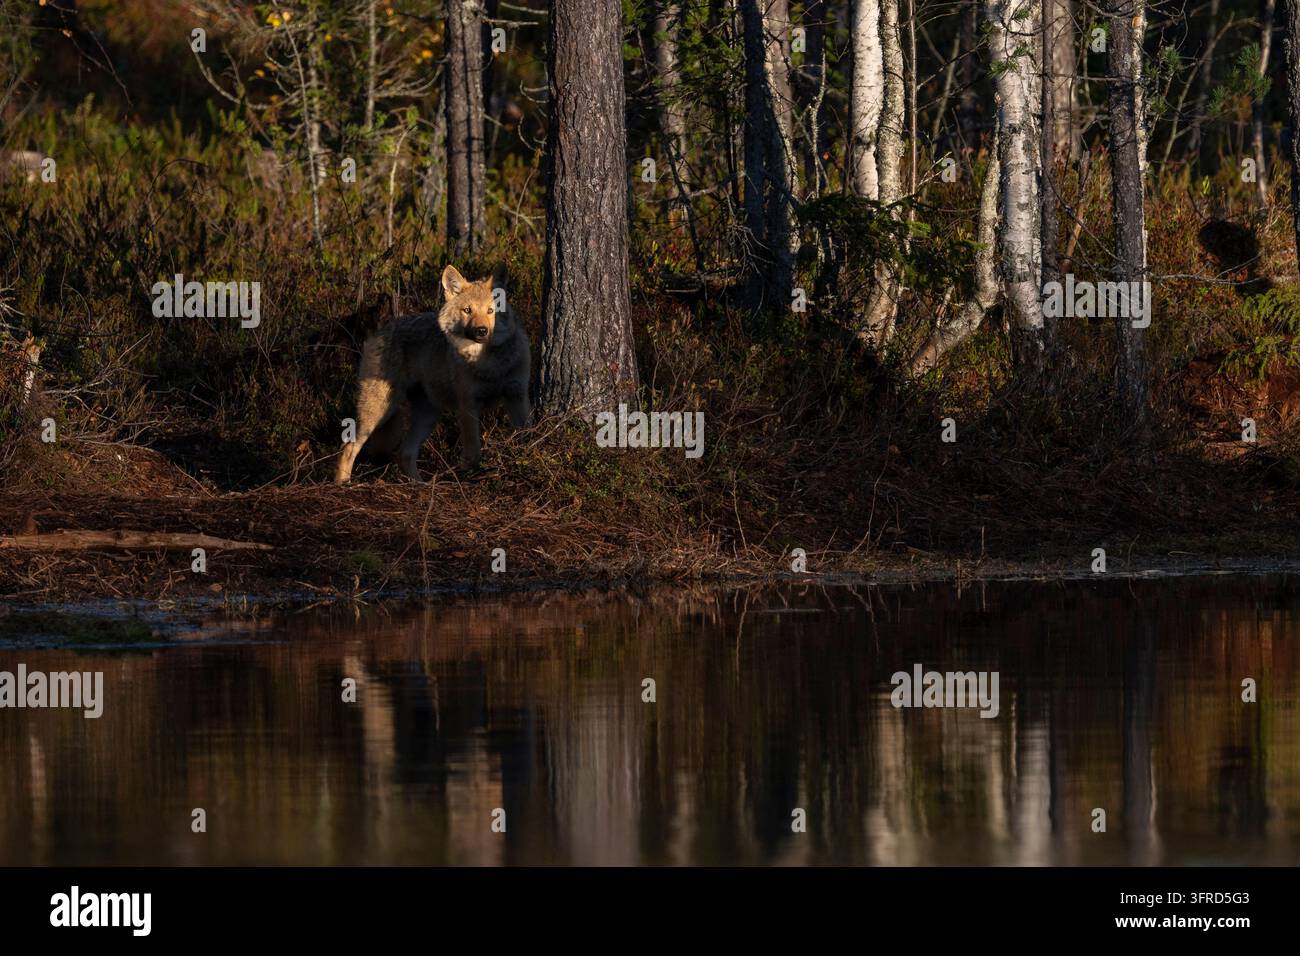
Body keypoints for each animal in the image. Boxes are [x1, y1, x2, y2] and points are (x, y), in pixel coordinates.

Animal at [334, 264, 531, 483]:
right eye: (467, 310)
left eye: (491, 311)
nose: (482, 331)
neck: (488, 364)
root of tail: (379, 330)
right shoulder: (468, 405)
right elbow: (473, 452)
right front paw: (471, 478)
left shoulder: (518, 397)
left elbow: (527, 433)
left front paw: (526, 458)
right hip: (380, 410)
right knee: (348, 446)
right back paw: (342, 484)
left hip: (427, 414)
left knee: (404, 454)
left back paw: (420, 485)